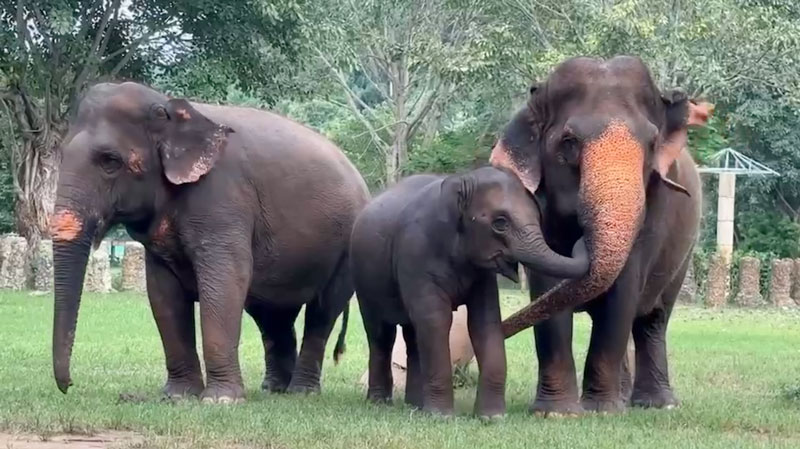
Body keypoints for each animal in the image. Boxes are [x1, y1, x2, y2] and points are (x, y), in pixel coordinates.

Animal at [51, 81, 370, 402]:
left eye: (110, 161)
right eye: (62, 154)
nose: (69, 386)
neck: (170, 105)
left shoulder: (223, 199)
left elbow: (226, 280)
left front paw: (220, 401)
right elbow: (163, 294)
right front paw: (178, 397)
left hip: (346, 249)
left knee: (321, 313)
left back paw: (301, 392)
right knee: (272, 316)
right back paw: (274, 389)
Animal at [494, 56, 712, 412]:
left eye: (652, 144)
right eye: (569, 142)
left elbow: (623, 291)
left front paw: (601, 411)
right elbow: (547, 283)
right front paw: (557, 413)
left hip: (684, 254)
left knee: (653, 319)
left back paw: (657, 404)